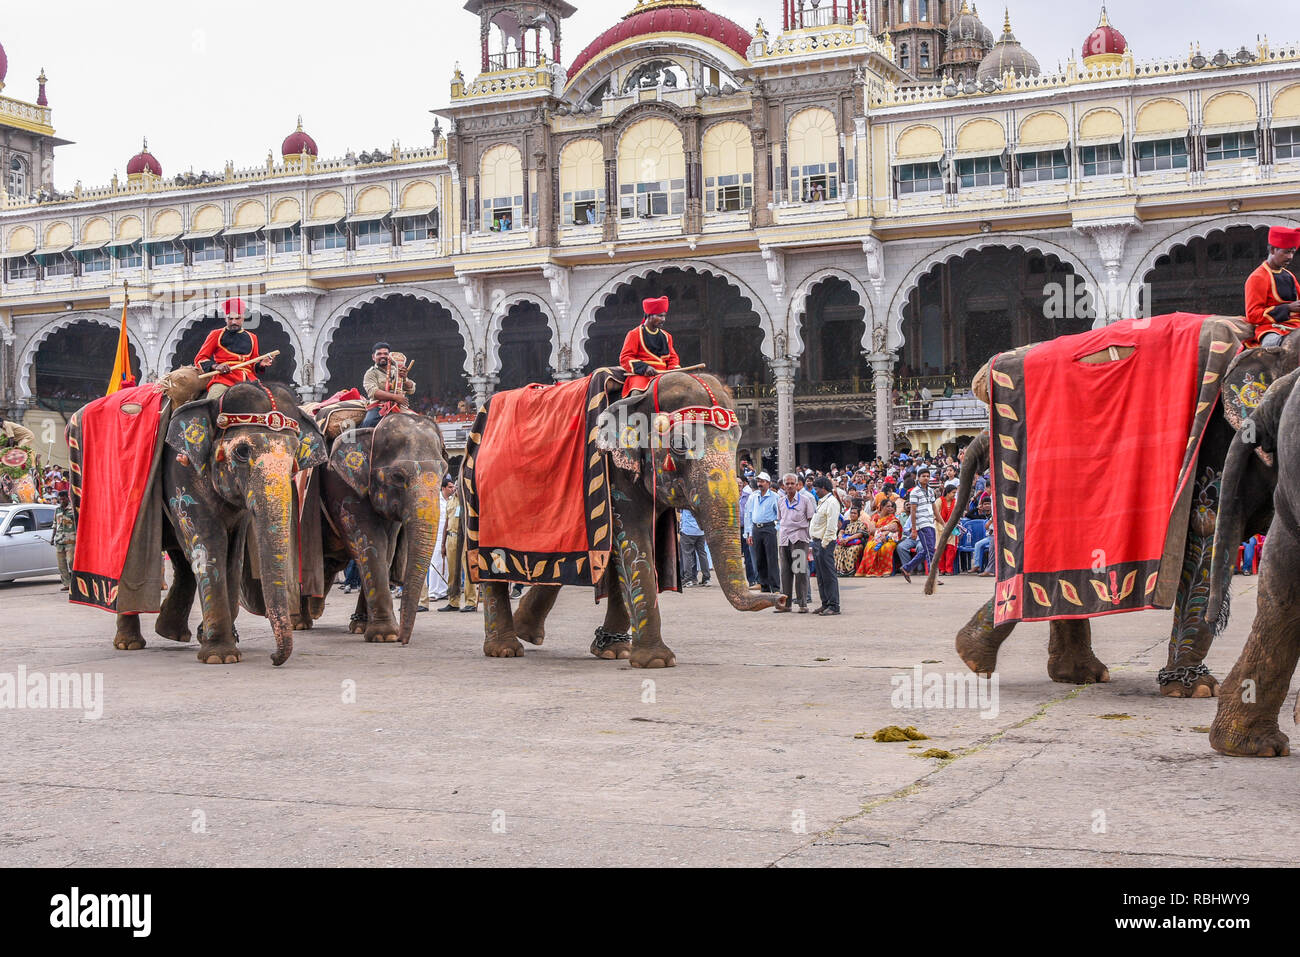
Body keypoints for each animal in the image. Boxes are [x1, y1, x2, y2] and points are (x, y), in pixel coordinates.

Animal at [111, 382, 330, 665]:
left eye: (294, 454)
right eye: (242, 451)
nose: (274, 657)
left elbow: (233, 554)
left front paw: (214, 639)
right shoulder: (181, 470)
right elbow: (210, 540)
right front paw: (219, 656)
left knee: (182, 558)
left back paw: (171, 632)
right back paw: (129, 643)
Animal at [296, 410, 452, 642]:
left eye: (444, 471)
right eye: (398, 476)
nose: (403, 641)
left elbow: (386, 550)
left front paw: (363, 628)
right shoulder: (342, 486)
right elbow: (370, 542)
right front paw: (385, 636)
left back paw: (315, 609)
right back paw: (299, 622)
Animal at [460, 369, 774, 670]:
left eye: (737, 441)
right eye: (679, 445)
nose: (779, 599)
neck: (642, 391)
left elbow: (625, 551)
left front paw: (615, 652)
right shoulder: (614, 472)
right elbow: (634, 543)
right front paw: (656, 662)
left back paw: (528, 632)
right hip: (476, 496)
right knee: (489, 569)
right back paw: (504, 649)